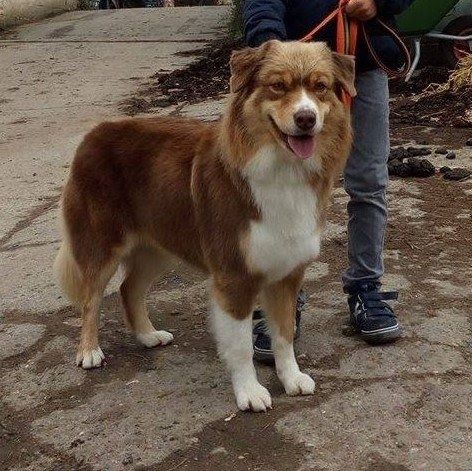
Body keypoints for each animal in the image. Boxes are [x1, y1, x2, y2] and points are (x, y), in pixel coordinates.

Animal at [54, 40, 355, 412]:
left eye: (320, 87)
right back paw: (89, 350)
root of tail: (95, 132)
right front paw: (250, 392)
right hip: (102, 244)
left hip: (157, 247)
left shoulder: (287, 273)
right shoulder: (234, 275)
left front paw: (291, 378)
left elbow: (283, 335)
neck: (282, 169)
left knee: (129, 289)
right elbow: (241, 345)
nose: (306, 118)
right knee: (90, 298)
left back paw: (148, 335)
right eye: (277, 86)